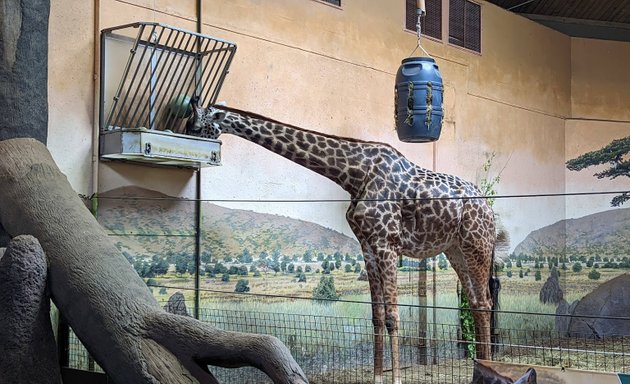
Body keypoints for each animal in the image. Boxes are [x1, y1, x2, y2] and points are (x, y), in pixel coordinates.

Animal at [188, 102, 498, 384]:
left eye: (197, 125)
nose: (197, 151)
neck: (353, 175)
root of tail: (488, 206)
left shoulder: (387, 243)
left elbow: (392, 316)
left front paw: (395, 379)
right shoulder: (368, 247)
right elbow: (376, 316)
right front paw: (377, 377)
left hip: (477, 244)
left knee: (485, 301)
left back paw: (488, 366)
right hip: (455, 250)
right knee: (476, 301)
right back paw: (481, 367)